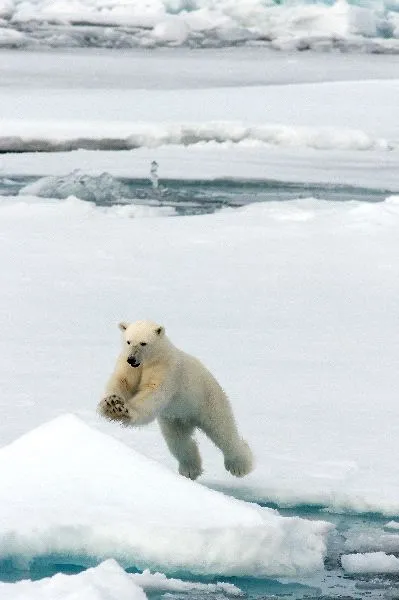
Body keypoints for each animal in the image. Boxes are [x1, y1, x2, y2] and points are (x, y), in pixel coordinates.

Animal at [99, 322, 255, 480]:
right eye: (128, 341)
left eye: (143, 343)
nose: (131, 359)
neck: (152, 358)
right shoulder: (127, 367)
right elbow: (121, 382)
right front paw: (111, 405)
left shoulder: (166, 370)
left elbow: (153, 392)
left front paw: (125, 411)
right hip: (175, 418)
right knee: (178, 441)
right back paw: (190, 469)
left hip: (208, 401)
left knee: (223, 432)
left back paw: (239, 466)